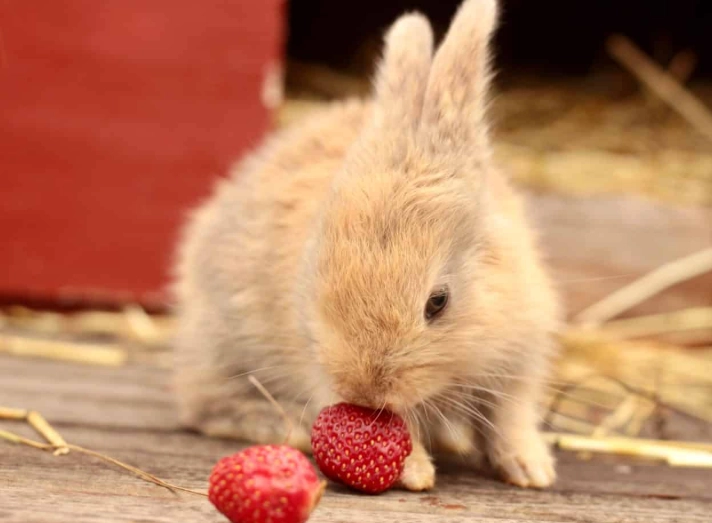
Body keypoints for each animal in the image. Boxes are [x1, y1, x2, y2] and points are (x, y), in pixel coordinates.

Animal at [172, 0, 562, 492]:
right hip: (224, 340)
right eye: (317, 279)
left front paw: (531, 470)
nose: (364, 390)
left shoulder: (520, 353)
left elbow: (511, 414)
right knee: (200, 403)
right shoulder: (314, 358)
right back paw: (283, 426)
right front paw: (415, 472)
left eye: (438, 302)